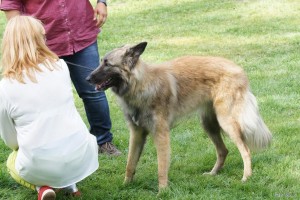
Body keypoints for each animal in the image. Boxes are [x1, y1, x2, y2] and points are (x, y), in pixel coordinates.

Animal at [86, 41, 272, 191]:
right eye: (102, 61)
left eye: (107, 64)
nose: (87, 78)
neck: (141, 84)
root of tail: (239, 69)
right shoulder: (137, 134)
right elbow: (130, 163)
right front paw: (125, 186)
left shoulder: (161, 135)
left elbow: (161, 167)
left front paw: (162, 191)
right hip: (208, 124)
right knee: (223, 150)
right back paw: (213, 174)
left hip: (226, 122)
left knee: (245, 150)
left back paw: (246, 177)